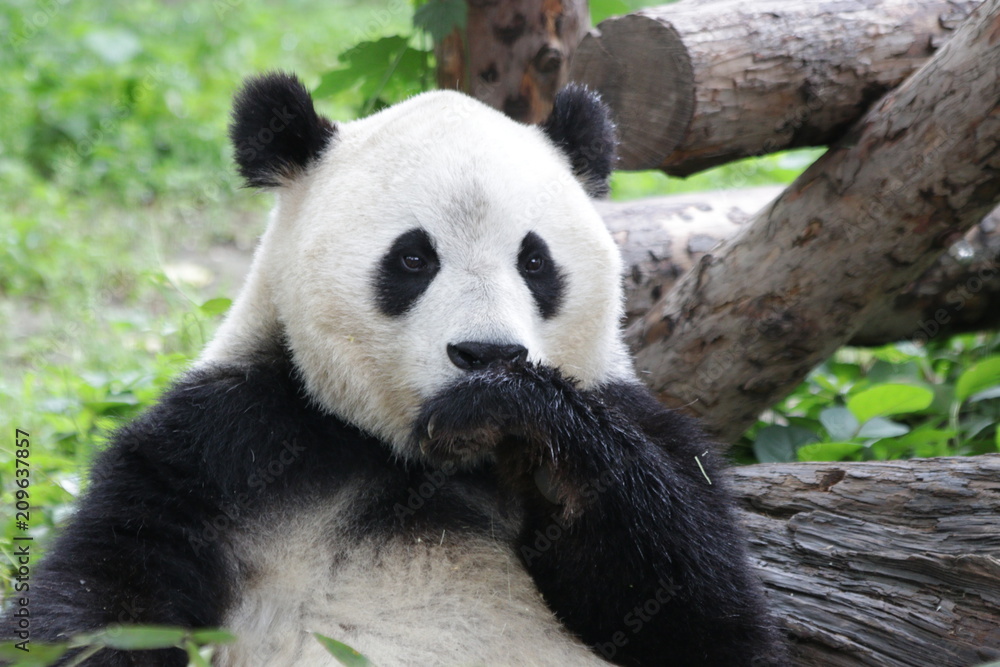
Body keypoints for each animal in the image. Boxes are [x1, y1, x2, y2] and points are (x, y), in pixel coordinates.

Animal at [10, 72, 785, 666]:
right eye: (413, 258)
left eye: (535, 261)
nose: (488, 354)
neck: (415, 456)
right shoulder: (227, 440)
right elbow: (108, 598)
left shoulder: (639, 420)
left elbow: (704, 618)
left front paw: (517, 408)